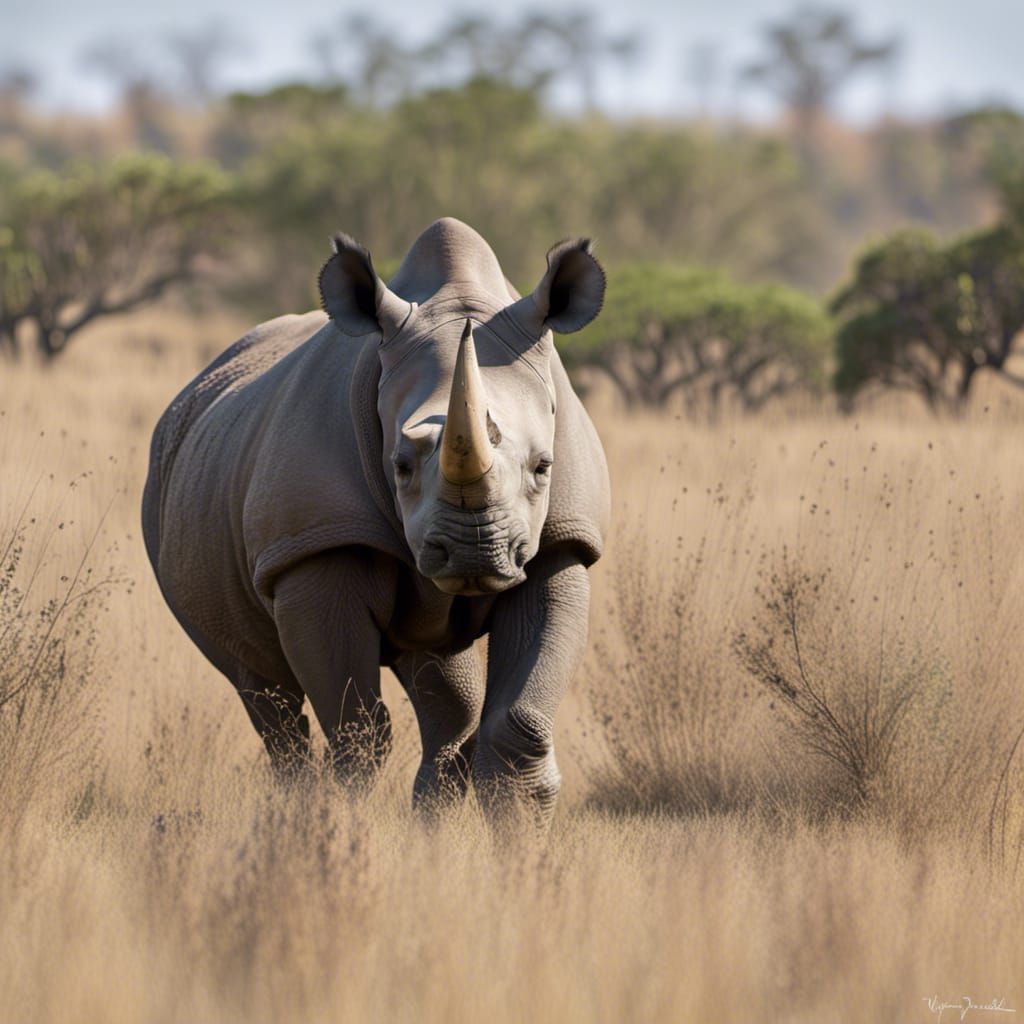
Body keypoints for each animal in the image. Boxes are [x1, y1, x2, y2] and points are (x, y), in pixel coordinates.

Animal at [142, 217, 610, 823]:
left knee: (442, 682)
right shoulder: (314, 545)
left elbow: (520, 728)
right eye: (401, 465)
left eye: (544, 467)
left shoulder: (560, 544)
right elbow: (356, 731)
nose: (473, 551)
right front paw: (336, 831)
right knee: (264, 693)